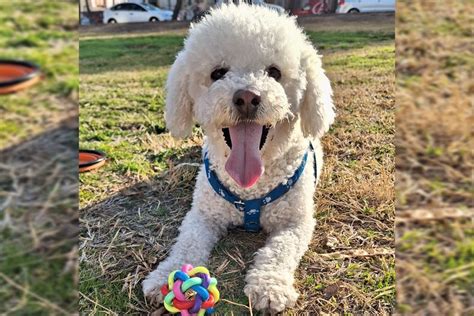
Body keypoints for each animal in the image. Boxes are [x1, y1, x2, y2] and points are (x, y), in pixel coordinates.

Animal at [143, 3, 336, 314]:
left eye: (274, 72)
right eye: (218, 72)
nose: (247, 97)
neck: (250, 189)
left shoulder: (295, 222)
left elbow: (280, 250)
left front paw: (269, 287)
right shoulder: (203, 215)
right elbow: (187, 243)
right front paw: (167, 276)